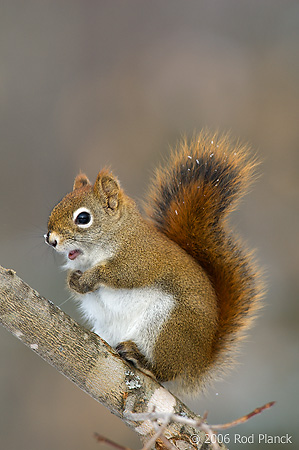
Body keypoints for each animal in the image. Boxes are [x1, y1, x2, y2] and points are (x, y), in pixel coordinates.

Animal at [45, 131, 262, 394]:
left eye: (83, 218)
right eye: (57, 205)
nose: (51, 239)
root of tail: (199, 360)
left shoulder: (142, 258)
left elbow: (122, 274)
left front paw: (90, 278)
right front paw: (74, 280)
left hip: (169, 327)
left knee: (164, 371)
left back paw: (142, 360)